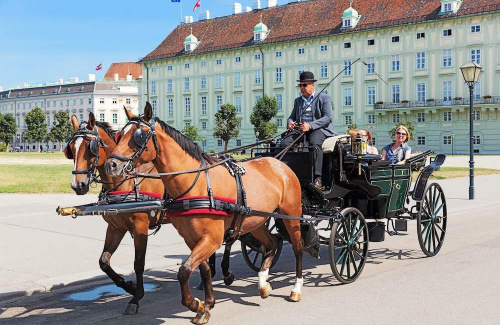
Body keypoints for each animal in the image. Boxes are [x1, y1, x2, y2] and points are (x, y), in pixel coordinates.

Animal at [105, 102, 304, 322]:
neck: (197, 183)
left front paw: (194, 304)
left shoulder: (211, 239)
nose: (111, 165)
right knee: (272, 243)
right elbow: (204, 270)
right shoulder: (192, 239)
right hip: (256, 221)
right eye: (119, 136)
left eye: (139, 135)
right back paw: (262, 283)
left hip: (291, 215)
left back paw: (296, 288)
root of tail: (279, 163)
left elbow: (184, 270)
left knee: (297, 247)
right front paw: (207, 305)